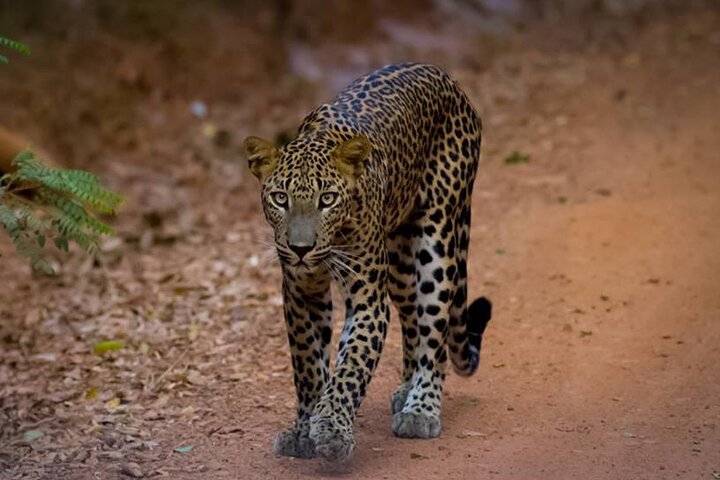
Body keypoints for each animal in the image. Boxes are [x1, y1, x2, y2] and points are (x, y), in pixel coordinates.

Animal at [243, 62, 493, 463]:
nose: (300, 248)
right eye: (280, 198)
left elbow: (351, 366)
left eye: (327, 199)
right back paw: (405, 388)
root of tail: (445, 77)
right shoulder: (300, 292)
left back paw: (421, 409)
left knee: (435, 330)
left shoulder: (367, 297)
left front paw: (331, 429)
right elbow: (308, 365)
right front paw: (303, 429)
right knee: (412, 318)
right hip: (400, 262)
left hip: (437, 240)